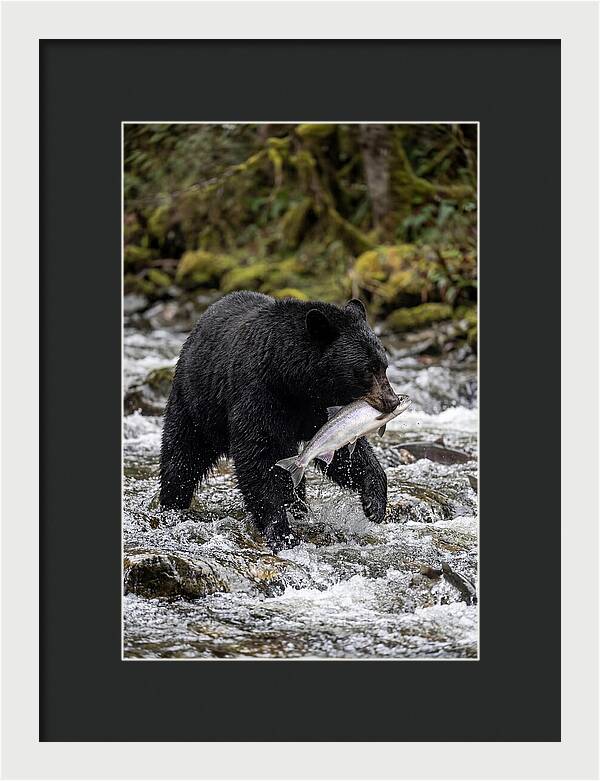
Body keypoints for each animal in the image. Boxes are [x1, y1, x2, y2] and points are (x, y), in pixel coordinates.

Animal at [159, 291, 400, 551]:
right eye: (367, 369)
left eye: (384, 366)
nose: (392, 401)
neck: (292, 379)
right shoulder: (260, 393)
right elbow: (258, 455)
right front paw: (281, 531)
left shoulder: (319, 408)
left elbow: (343, 449)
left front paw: (374, 503)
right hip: (196, 403)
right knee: (182, 455)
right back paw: (172, 505)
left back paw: (299, 508)